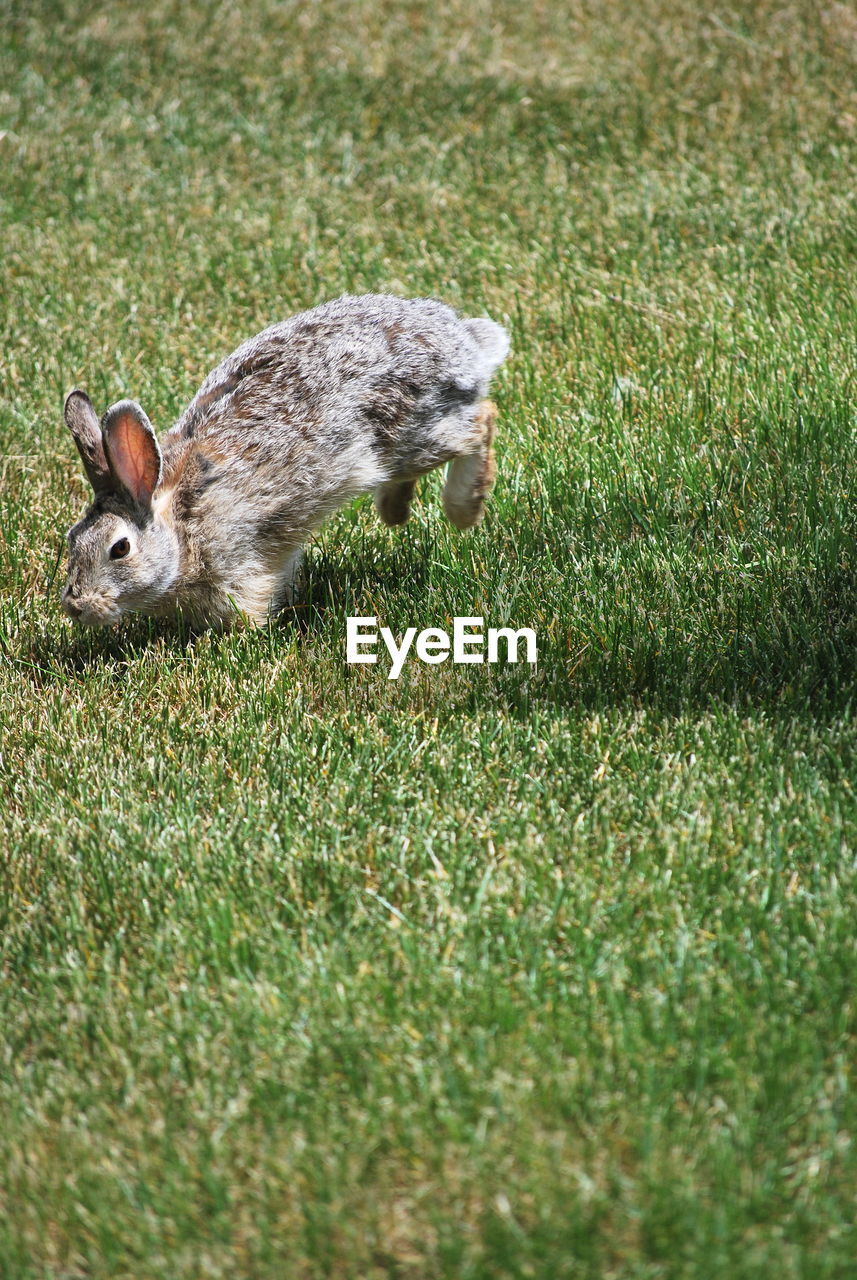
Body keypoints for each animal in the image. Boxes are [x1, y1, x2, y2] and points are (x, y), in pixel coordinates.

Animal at [63, 291, 514, 629]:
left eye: (120, 549)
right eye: (72, 540)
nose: (76, 606)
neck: (180, 524)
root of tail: (465, 343)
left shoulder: (239, 563)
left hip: (412, 432)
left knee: (482, 420)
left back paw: (463, 508)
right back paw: (395, 509)